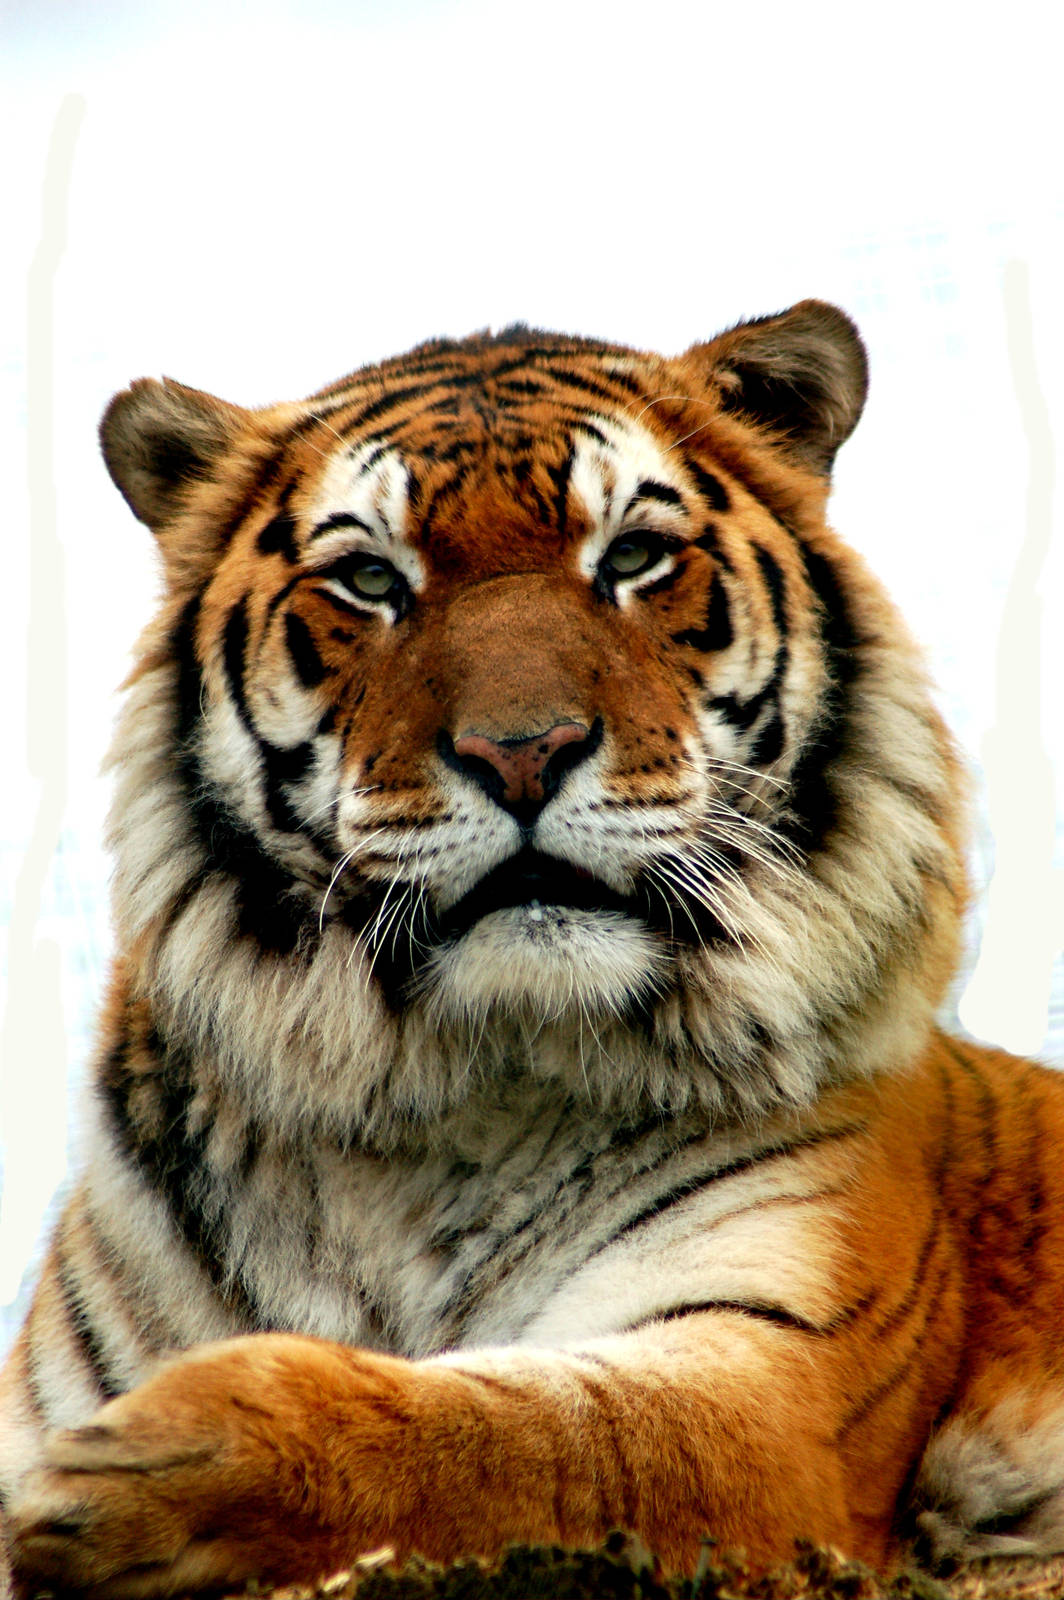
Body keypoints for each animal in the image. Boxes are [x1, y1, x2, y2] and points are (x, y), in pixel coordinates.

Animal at [3, 300, 1064, 1600]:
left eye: (632, 557)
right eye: (369, 578)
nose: (522, 751)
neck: (440, 1110)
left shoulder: (775, 1377)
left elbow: (518, 1434)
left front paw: (128, 1468)